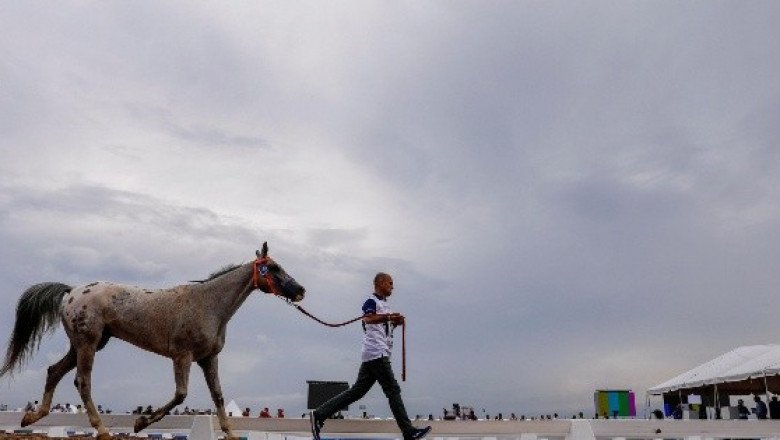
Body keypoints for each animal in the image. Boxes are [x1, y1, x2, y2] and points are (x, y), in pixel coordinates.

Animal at [0, 242, 305, 440]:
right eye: (273, 267)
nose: (300, 290)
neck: (208, 305)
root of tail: (72, 291)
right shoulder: (182, 357)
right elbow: (180, 395)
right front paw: (140, 423)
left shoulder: (208, 359)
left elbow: (218, 395)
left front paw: (230, 434)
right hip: (88, 344)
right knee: (82, 381)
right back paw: (102, 430)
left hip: (85, 344)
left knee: (54, 371)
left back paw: (32, 417)